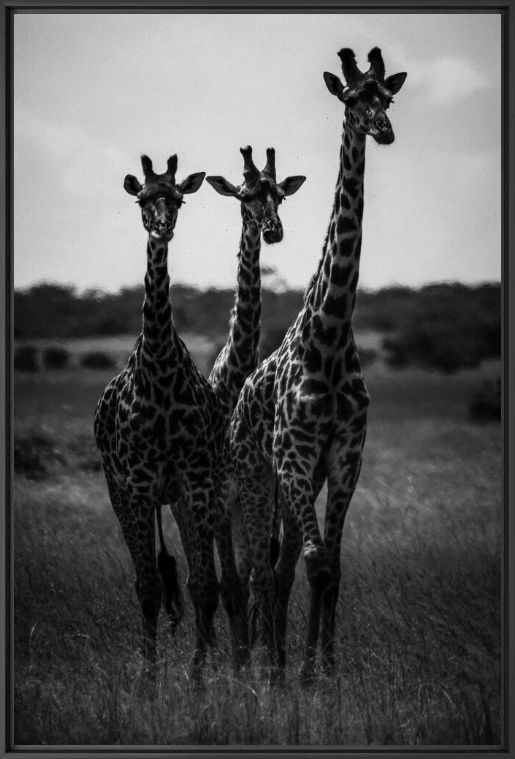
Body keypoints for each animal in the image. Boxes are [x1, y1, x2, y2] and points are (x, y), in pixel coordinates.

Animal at [94, 153, 242, 672]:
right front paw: (149, 673)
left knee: (198, 577)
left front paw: (199, 672)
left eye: (177, 198)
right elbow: (150, 586)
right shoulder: (138, 483)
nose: (162, 228)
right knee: (148, 579)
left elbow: (202, 583)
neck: (157, 367)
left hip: (178, 495)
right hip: (119, 491)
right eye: (142, 198)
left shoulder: (194, 478)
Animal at [229, 47, 408, 680]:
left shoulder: (346, 453)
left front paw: (324, 669)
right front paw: (301, 673)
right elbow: (311, 562)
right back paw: (268, 666)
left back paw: (282, 659)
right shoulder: (296, 455)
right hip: (257, 475)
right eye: (353, 98)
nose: (384, 131)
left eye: (389, 95)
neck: (329, 335)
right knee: (264, 569)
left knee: (284, 567)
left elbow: (332, 564)